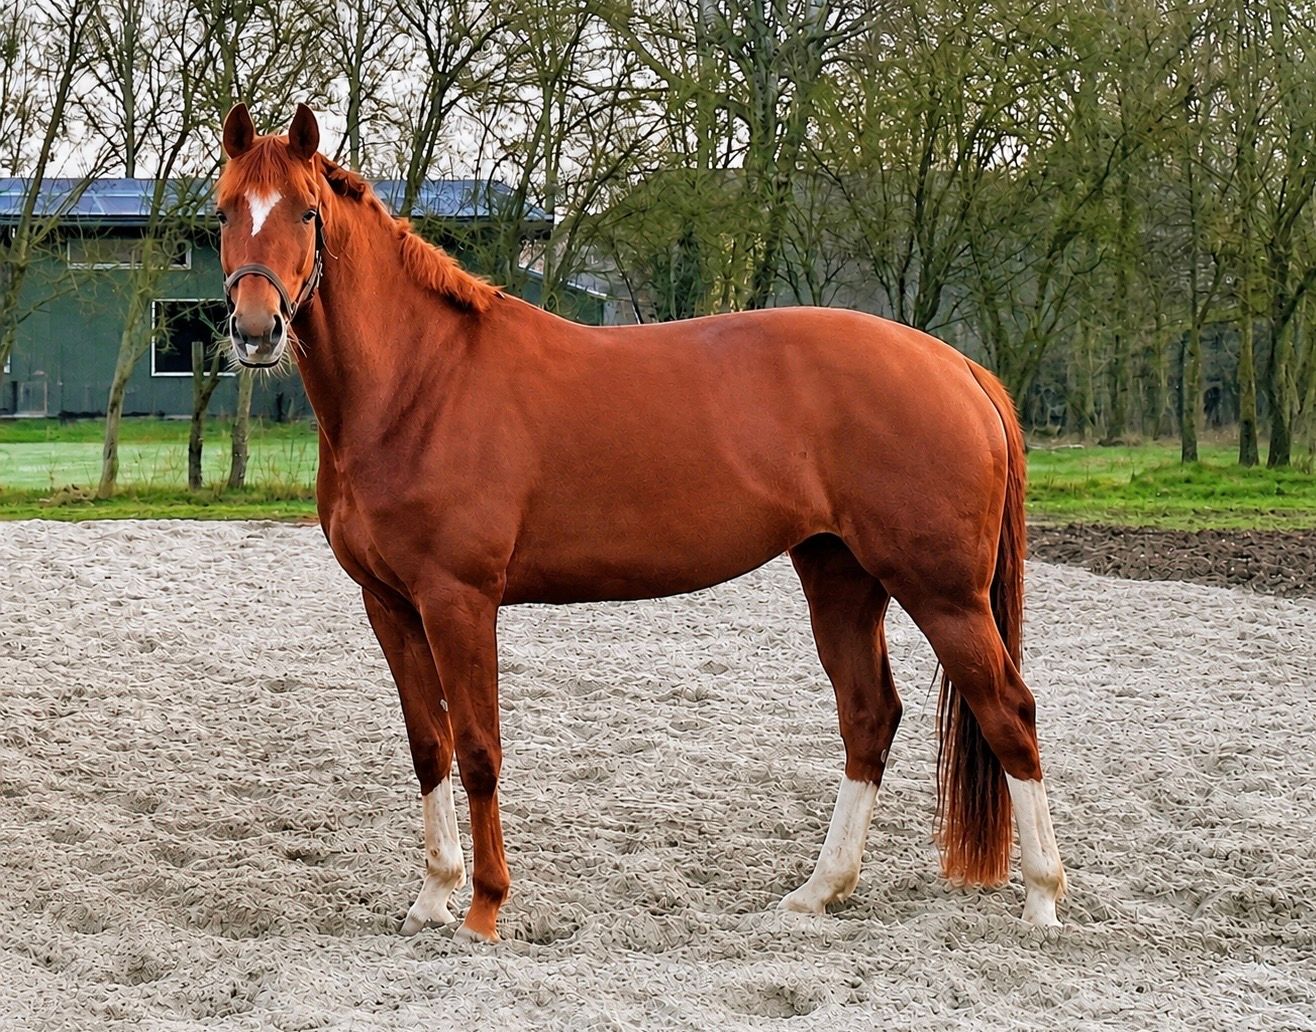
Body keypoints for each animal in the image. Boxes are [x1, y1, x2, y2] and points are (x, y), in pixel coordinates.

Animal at [216, 103, 1066, 943]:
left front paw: (485, 908)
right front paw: (432, 897)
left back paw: (1042, 902)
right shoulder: (390, 605)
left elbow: (480, 749)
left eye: (307, 211)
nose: (256, 328)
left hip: (943, 593)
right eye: (225, 210)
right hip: (841, 577)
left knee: (1010, 713)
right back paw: (818, 892)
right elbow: (430, 747)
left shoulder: (460, 601)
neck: (420, 383)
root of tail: (960, 368)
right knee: (869, 718)